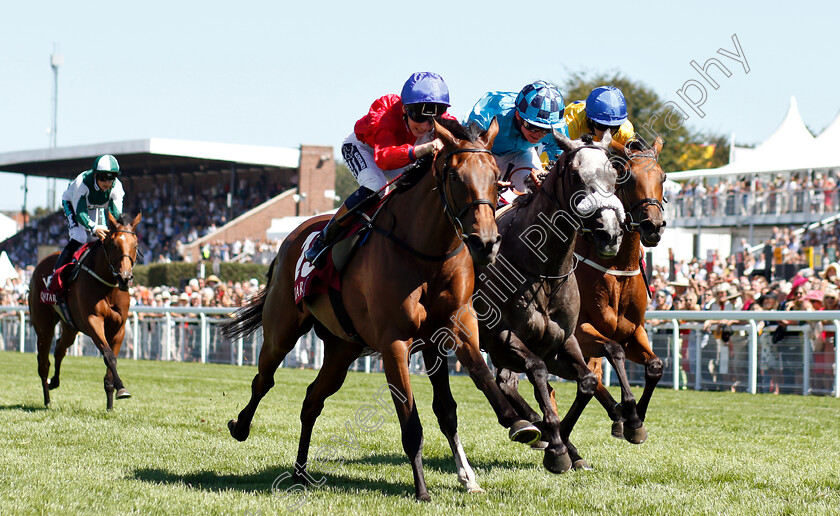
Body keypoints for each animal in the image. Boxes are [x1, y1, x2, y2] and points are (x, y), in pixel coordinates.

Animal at [27, 212, 142, 410]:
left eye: (135, 245)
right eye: (113, 244)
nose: (125, 278)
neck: (108, 285)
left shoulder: (119, 328)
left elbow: (111, 358)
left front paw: (110, 403)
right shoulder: (93, 321)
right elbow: (109, 356)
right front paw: (121, 388)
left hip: (70, 327)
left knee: (60, 348)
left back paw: (54, 382)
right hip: (43, 325)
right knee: (43, 362)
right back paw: (47, 399)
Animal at [220, 119, 540, 502]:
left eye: (496, 177)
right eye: (455, 176)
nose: (486, 243)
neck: (426, 253)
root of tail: (291, 239)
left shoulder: (455, 327)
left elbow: (471, 383)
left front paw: (517, 424)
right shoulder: (395, 343)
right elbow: (411, 420)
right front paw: (422, 490)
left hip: (343, 348)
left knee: (312, 399)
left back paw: (299, 472)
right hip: (282, 330)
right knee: (263, 378)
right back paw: (240, 426)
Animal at [476, 132, 628, 472]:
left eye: (614, 176)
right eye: (576, 176)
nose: (609, 233)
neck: (544, 269)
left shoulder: (562, 339)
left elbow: (587, 381)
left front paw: (566, 445)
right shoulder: (501, 338)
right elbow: (537, 370)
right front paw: (557, 448)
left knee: (507, 382)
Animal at [576, 137, 668, 444]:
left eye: (664, 177)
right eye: (627, 178)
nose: (653, 226)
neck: (617, 266)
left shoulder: (633, 330)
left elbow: (655, 366)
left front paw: (636, 417)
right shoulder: (580, 330)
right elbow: (612, 351)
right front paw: (630, 412)